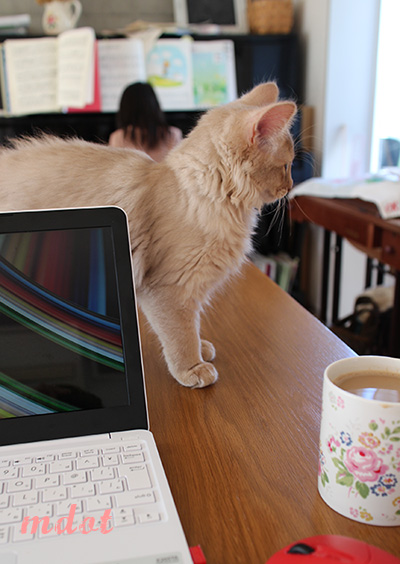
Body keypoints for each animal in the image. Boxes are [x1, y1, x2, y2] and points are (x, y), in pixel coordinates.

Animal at [0, 82, 296, 388]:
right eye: (287, 166)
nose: (290, 186)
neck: (197, 195)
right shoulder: (168, 289)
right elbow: (180, 336)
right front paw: (192, 368)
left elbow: (192, 325)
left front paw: (200, 348)